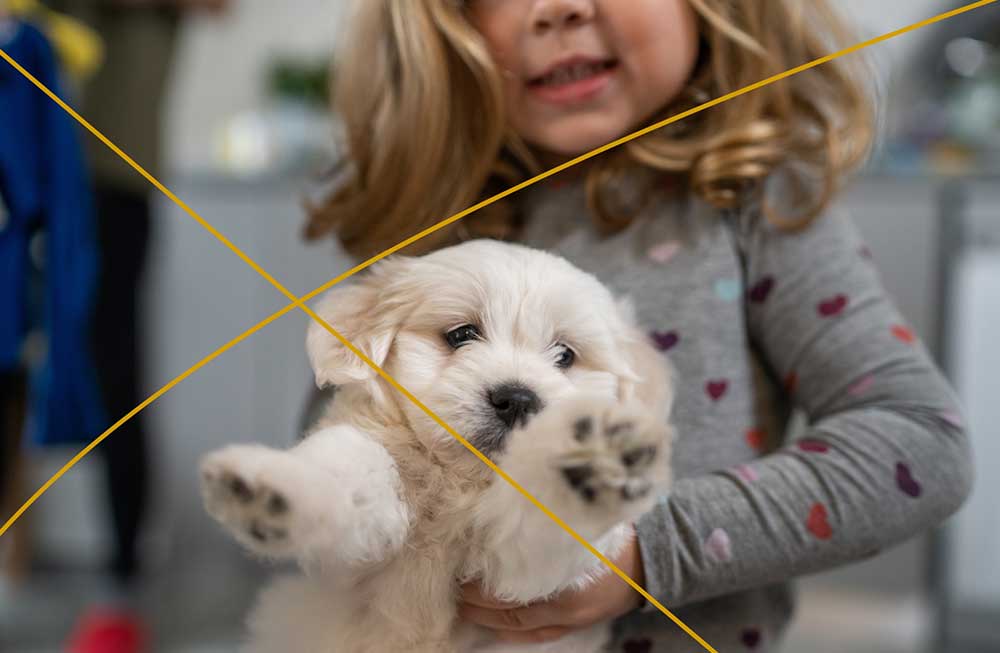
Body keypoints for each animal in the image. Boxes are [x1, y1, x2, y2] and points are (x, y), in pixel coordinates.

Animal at [199, 239, 676, 652]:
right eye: (461, 334)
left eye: (565, 356)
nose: (517, 399)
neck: (460, 482)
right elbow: (348, 467)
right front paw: (273, 489)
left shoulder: (522, 580)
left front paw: (588, 463)